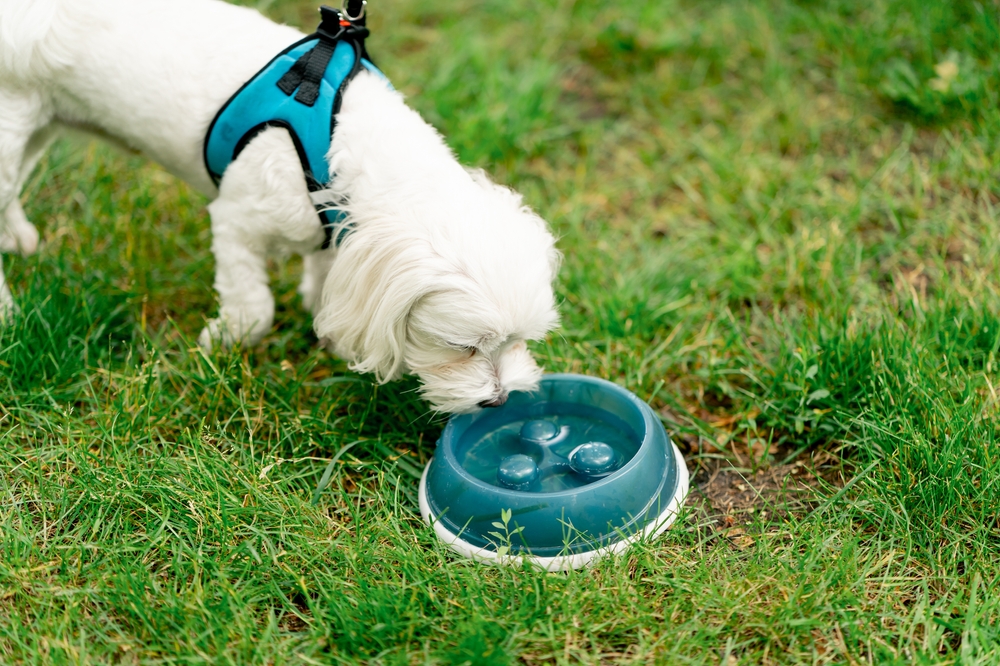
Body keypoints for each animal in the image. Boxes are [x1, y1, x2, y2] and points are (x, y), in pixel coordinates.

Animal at [0, 0, 564, 410]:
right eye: (462, 346)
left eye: (518, 341)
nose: (499, 401)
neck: (339, 141)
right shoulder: (237, 221)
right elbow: (255, 308)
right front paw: (225, 340)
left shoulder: (336, 235)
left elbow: (325, 288)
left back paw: (17, 238)